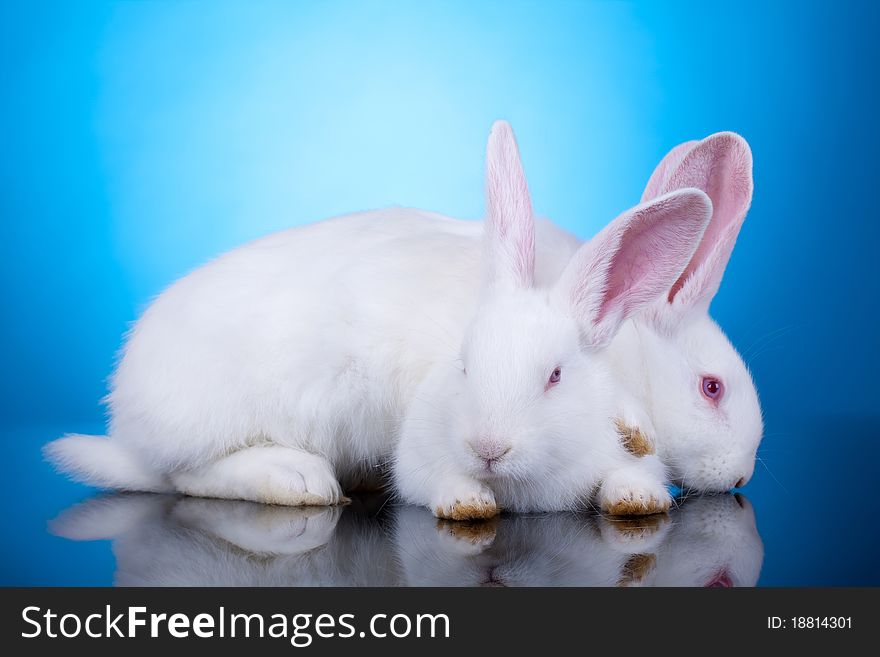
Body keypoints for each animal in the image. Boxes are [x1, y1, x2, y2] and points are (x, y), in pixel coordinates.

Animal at [396, 123, 712, 516]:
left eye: (555, 376)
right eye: (464, 366)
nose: (488, 449)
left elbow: (629, 473)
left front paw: (635, 498)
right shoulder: (414, 464)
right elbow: (441, 480)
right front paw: (469, 503)